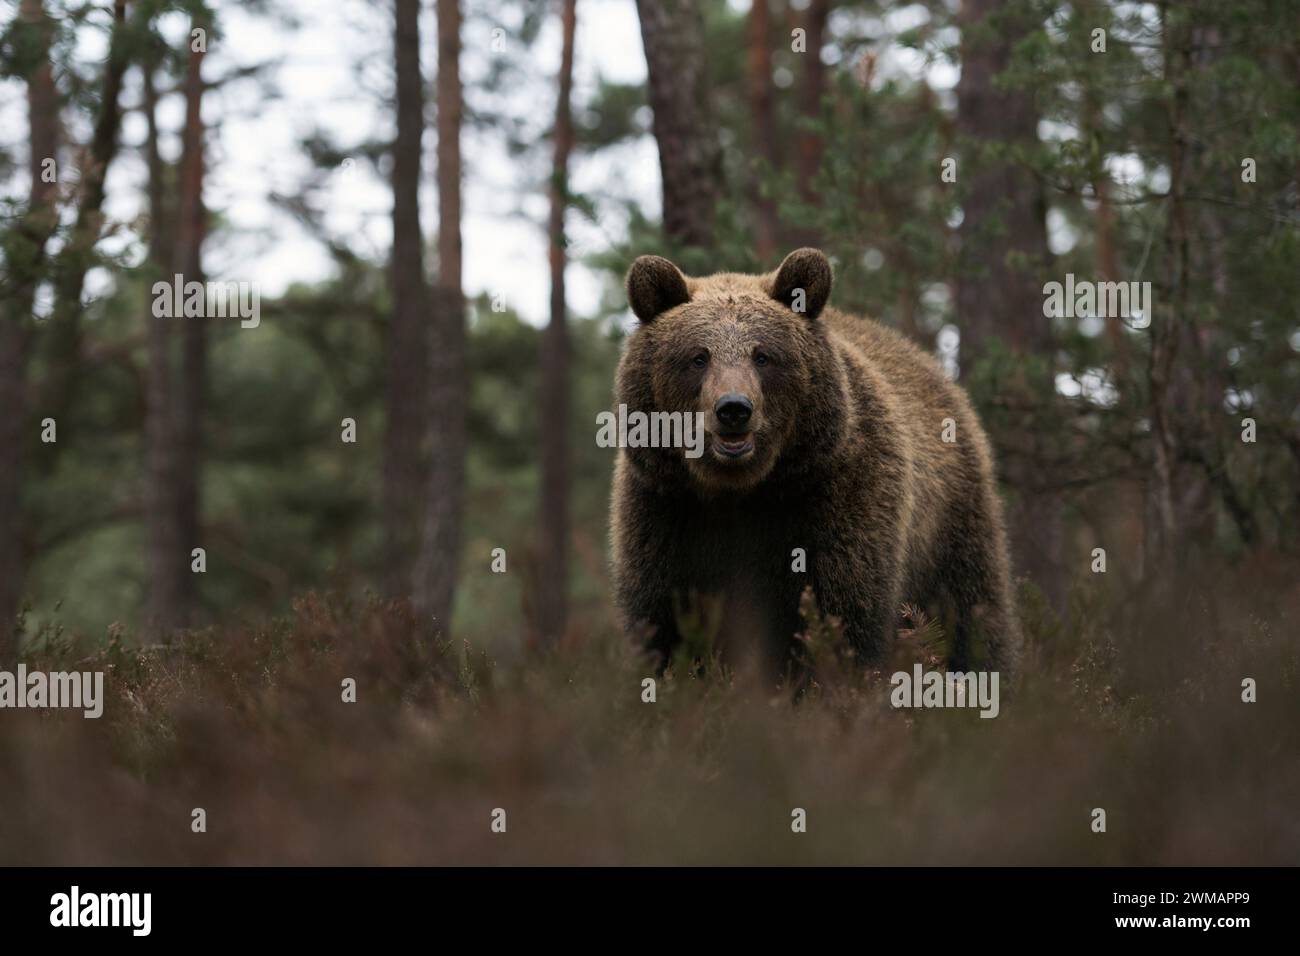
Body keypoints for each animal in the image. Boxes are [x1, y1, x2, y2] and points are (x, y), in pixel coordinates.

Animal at [611, 248, 1024, 681]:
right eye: (698, 357)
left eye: (763, 355)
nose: (734, 408)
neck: (741, 491)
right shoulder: (666, 508)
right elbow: (662, 622)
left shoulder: (837, 494)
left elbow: (842, 611)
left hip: (949, 522)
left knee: (974, 611)